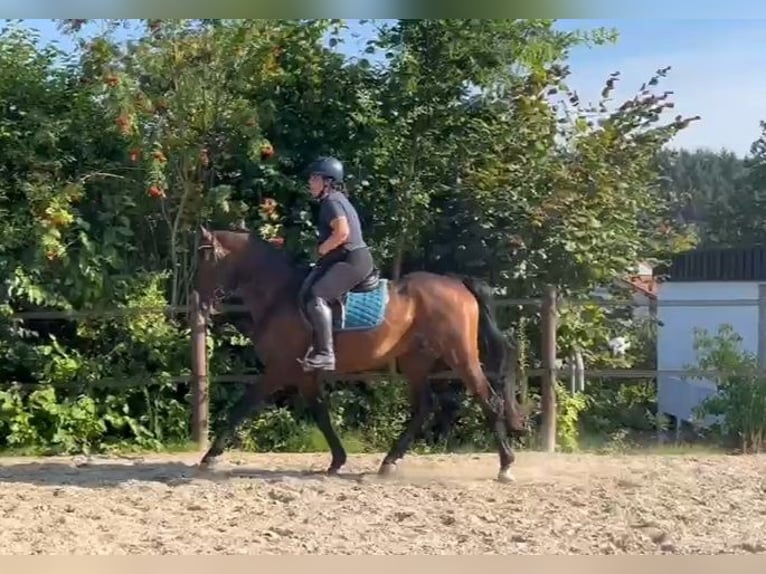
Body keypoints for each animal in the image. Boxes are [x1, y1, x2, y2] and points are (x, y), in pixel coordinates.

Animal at [195, 227, 532, 484]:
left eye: (206, 259)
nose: (200, 303)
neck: (279, 295)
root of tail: (455, 282)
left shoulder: (279, 369)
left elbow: (242, 406)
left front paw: (210, 456)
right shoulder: (304, 374)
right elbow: (321, 414)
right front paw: (337, 460)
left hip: (459, 353)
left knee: (487, 399)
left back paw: (505, 466)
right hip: (415, 361)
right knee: (424, 406)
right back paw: (389, 462)